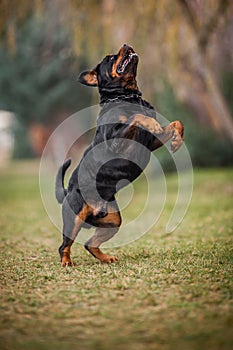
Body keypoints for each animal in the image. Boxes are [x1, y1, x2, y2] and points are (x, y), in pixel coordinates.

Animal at [55, 45, 184, 266]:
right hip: (74, 218)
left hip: (113, 220)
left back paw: (106, 258)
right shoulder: (117, 141)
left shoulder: (151, 141)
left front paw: (177, 141)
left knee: (89, 243)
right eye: (110, 58)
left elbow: (176, 123)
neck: (127, 96)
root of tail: (67, 191)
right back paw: (66, 262)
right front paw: (151, 122)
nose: (126, 45)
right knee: (64, 245)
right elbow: (136, 117)